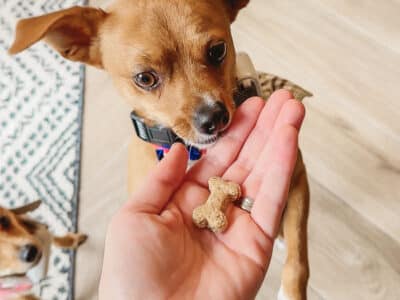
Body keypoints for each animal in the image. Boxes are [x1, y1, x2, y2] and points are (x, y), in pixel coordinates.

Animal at [8, 1, 310, 298]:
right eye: (144, 78)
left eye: (218, 50)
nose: (213, 117)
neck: (193, 151)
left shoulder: (297, 180)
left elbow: (297, 259)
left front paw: (290, 291)